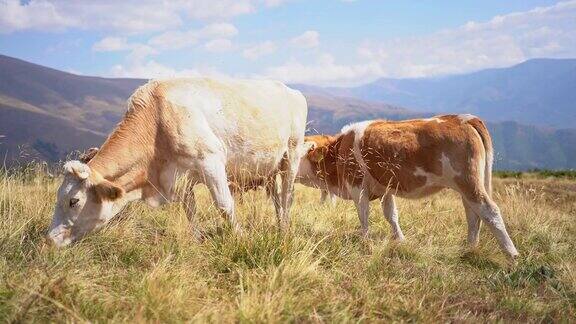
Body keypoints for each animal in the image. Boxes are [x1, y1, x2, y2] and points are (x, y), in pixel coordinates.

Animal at [47, 78, 308, 246]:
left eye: (74, 201)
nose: (49, 240)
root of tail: (290, 90)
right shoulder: (180, 178)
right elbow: (190, 211)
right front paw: (197, 241)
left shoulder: (211, 161)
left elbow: (225, 205)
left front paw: (241, 238)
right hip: (269, 169)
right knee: (277, 199)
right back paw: (279, 225)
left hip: (292, 154)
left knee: (287, 196)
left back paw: (285, 230)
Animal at [300, 115, 520, 260]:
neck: (337, 151)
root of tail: (464, 118)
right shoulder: (385, 188)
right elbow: (391, 215)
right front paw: (400, 240)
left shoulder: (357, 187)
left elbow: (363, 216)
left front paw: (365, 241)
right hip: (468, 185)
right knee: (473, 214)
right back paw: (470, 247)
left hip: (469, 182)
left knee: (490, 211)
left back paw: (511, 254)